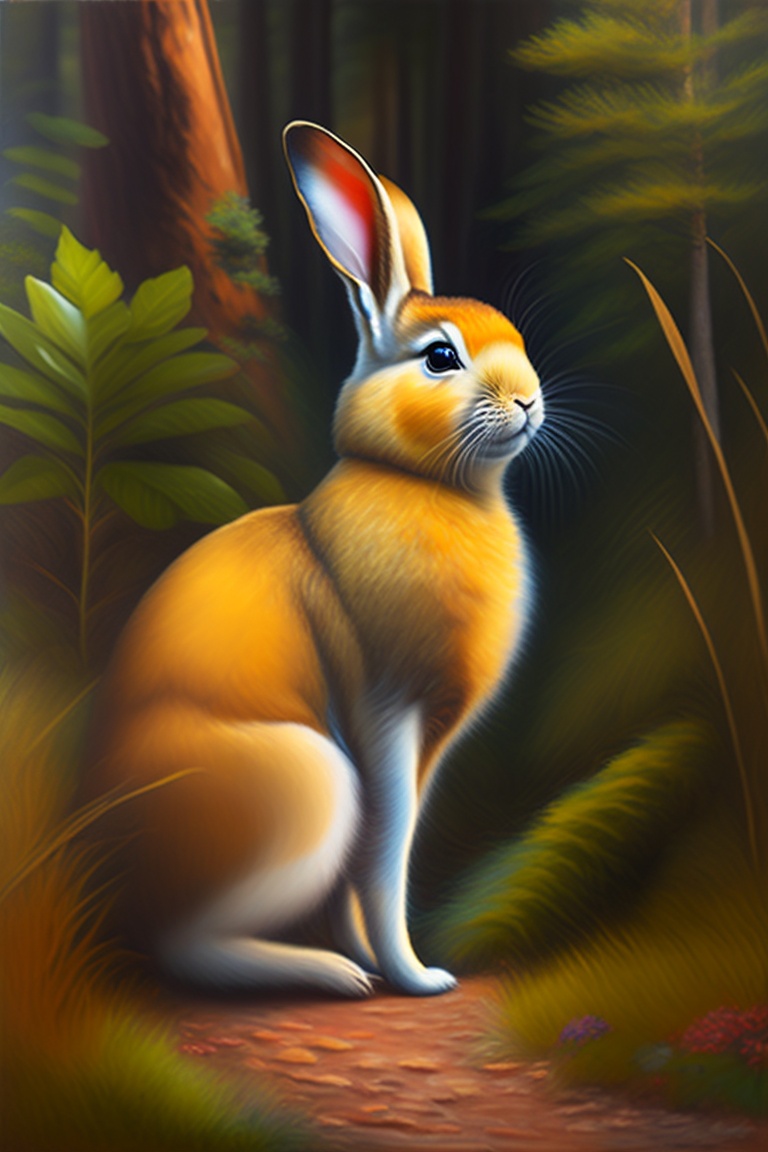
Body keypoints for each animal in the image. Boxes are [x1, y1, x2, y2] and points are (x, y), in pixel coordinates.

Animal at [80, 121, 544, 998]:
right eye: (440, 358)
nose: (530, 401)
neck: (418, 482)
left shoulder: (425, 742)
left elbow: (367, 872)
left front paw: (384, 959)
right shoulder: (385, 712)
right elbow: (385, 856)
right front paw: (417, 976)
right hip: (313, 785)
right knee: (188, 946)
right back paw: (332, 976)